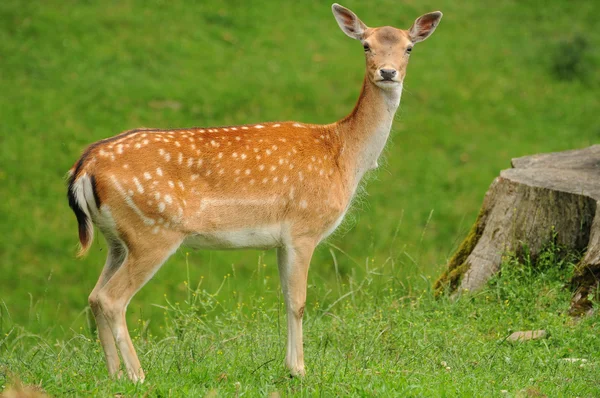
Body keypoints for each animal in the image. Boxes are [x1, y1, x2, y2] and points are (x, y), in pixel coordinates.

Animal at [67, 3, 440, 382]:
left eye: (409, 47)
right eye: (366, 45)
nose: (388, 72)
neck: (343, 155)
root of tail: (84, 167)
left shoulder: (282, 239)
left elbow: (286, 298)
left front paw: (289, 366)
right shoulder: (304, 228)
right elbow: (299, 302)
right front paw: (300, 370)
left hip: (117, 238)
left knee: (95, 296)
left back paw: (114, 375)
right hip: (152, 231)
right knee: (113, 299)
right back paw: (138, 375)